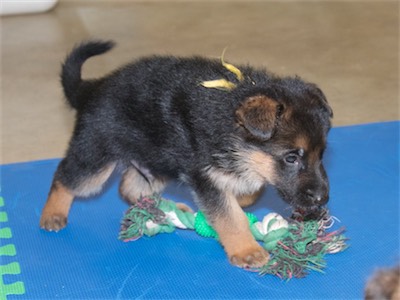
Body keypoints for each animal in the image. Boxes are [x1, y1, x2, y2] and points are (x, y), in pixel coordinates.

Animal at [39, 39, 332, 268]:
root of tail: (92, 88)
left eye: (321, 155)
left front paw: (242, 197)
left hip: (154, 162)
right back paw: (52, 214)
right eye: (291, 157)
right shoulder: (205, 178)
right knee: (65, 175)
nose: (322, 199)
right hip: (96, 160)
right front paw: (246, 250)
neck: (231, 119)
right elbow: (230, 216)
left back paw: (163, 209)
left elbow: (249, 192)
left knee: (129, 187)